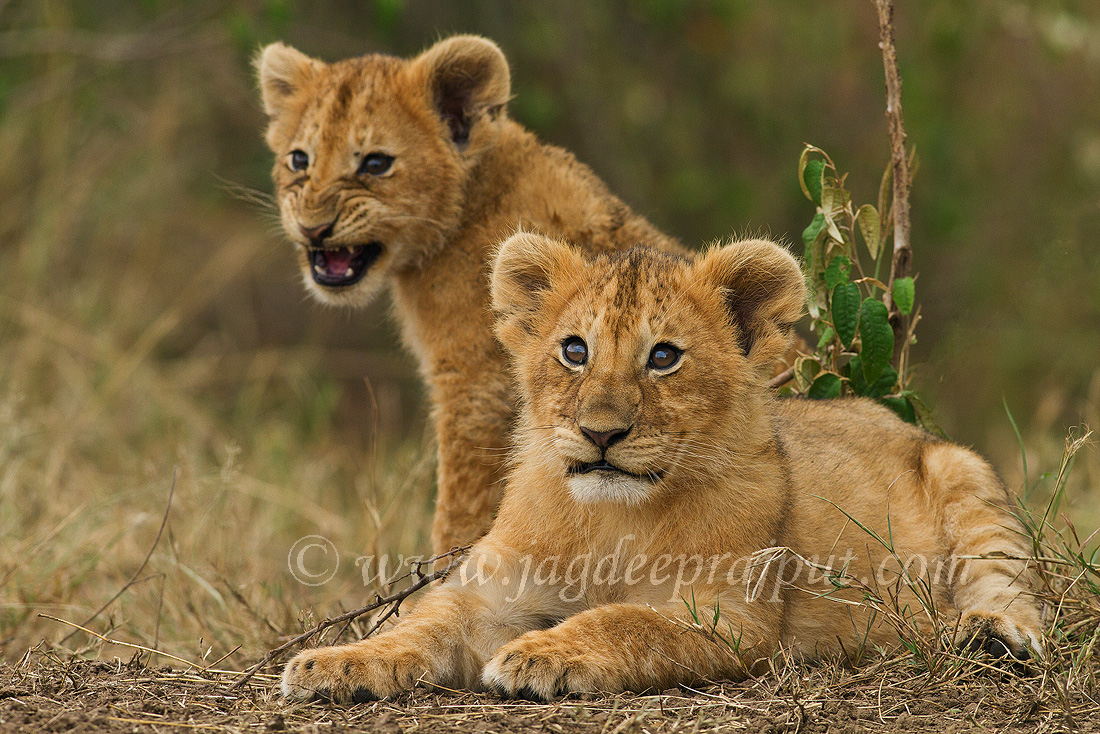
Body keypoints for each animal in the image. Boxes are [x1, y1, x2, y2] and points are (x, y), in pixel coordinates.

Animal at [279, 234, 1043, 702]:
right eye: (575, 350)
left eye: (664, 357)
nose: (601, 433)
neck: (611, 520)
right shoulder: (494, 591)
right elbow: (422, 623)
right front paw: (335, 663)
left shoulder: (730, 613)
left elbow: (625, 621)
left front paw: (541, 657)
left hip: (965, 472)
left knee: (1014, 593)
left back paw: (991, 636)